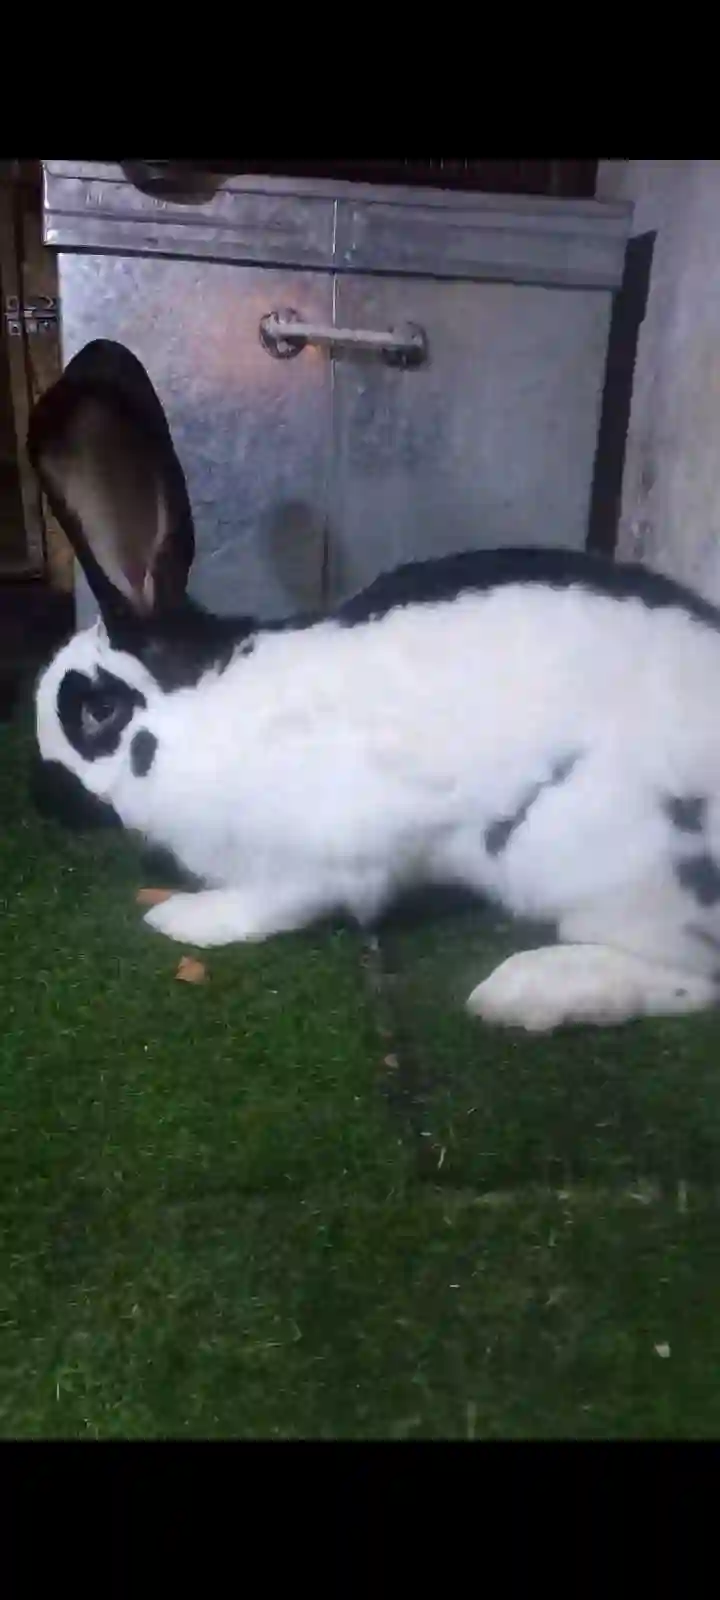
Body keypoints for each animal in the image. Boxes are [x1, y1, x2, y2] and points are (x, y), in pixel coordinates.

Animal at [26, 338, 720, 1032]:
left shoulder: (316, 859)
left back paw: (528, 989)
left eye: (98, 711)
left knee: (692, 980)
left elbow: (268, 906)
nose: (43, 798)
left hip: (599, 866)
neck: (203, 713)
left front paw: (184, 918)